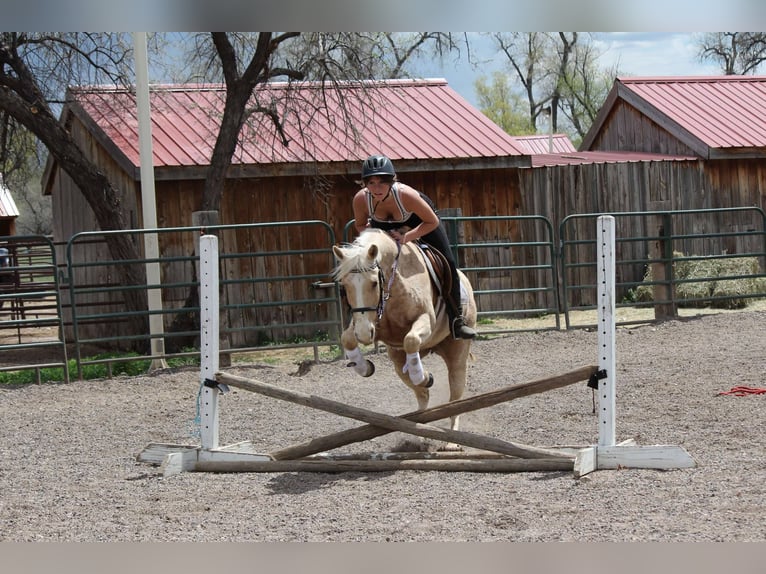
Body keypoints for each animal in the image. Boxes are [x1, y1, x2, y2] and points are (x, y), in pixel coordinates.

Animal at [332, 228, 477, 444]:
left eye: (374, 283)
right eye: (344, 286)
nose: (364, 335)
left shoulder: (425, 319)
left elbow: (411, 340)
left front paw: (420, 374)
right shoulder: (370, 323)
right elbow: (347, 338)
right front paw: (364, 367)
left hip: (457, 354)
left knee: (455, 398)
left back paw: (452, 442)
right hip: (398, 362)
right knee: (422, 394)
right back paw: (421, 429)